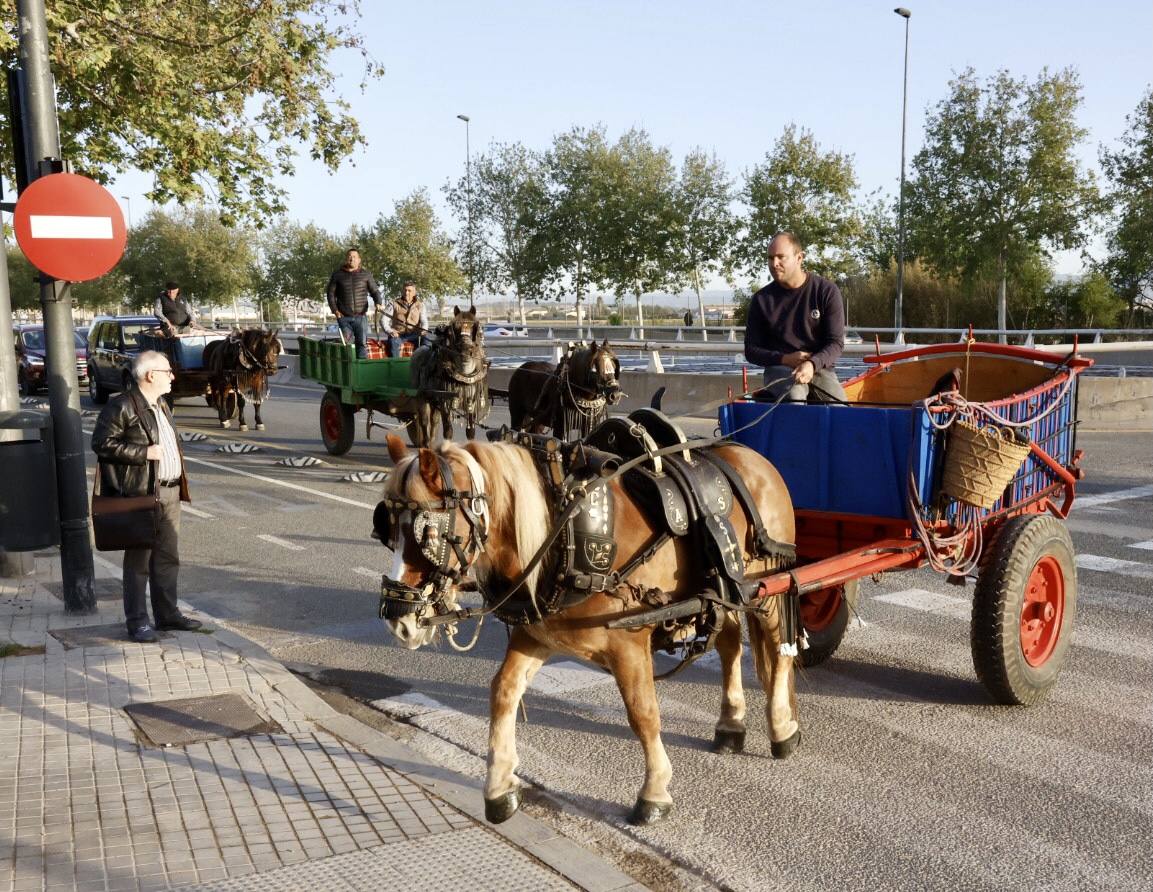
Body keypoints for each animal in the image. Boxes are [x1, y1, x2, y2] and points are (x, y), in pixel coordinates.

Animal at [373, 428, 797, 829]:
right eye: (387, 528)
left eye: (428, 533)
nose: (398, 618)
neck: (561, 532)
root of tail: (751, 455)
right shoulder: (537, 635)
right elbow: (504, 692)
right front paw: (499, 786)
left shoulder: (628, 645)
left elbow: (643, 713)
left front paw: (655, 791)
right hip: (726, 593)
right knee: (730, 644)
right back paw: (731, 722)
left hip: (768, 586)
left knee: (778, 651)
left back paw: (781, 728)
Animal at [410, 306, 491, 447]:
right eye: (455, 329)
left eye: (475, 327)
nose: (466, 351)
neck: (464, 374)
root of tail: (418, 350)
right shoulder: (445, 401)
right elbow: (448, 430)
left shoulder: (471, 400)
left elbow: (471, 431)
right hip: (421, 396)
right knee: (424, 421)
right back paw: (426, 444)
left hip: (433, 399)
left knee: (434, 420)